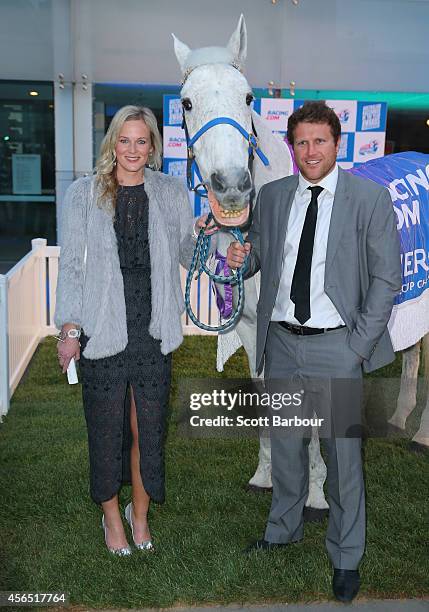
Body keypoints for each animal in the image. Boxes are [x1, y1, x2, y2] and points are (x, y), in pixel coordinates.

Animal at [172, 14, 330, 516]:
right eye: (186, 102)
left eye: (248, 97)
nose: (232, 188)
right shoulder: (249, 327)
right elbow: (265, 395)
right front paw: (266, 475)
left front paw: (315, 491)